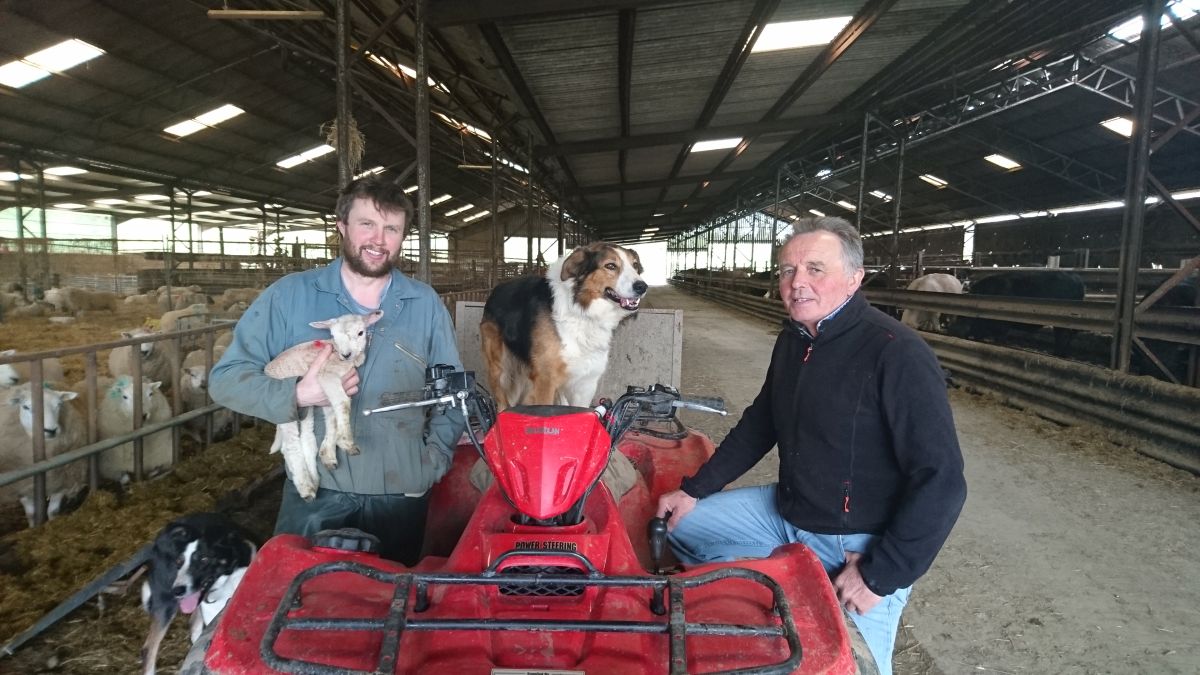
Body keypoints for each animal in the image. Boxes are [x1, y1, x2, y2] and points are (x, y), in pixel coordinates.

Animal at [0, 381, 87, 523]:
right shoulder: (23, 485)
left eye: (59, 404)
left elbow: (53, 511)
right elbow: (31, 513)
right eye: (25, 407)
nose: (51, 430)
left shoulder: (62, 479)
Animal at [265, 309, 381, 499]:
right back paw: (306, 489)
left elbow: (333, 417)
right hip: (284, 408)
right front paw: (346, 442)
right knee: (290, 446)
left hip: (305, 407)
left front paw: (330, 453)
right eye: (332, 335)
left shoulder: (329, 392)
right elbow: (343, 403)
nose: (346, 354)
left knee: (306, 438)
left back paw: (313, 479)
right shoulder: (326, 376)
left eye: (360, 332)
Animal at [480, 242, 648, 408]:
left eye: (635, 265)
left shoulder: (586, 383)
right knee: (502, 403)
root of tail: (496, 289)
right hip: (499, 369)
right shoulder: (545, 379)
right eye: (611, 266)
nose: (642, 286)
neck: (581, 311)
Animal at [955, 267, 1089, 355]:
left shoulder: (1001, 326)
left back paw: (1058, 354)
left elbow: (999, 338)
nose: (954, 331)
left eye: (963, 317)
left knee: (1063, 337)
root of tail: (1077, 279)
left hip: (1063, 323)